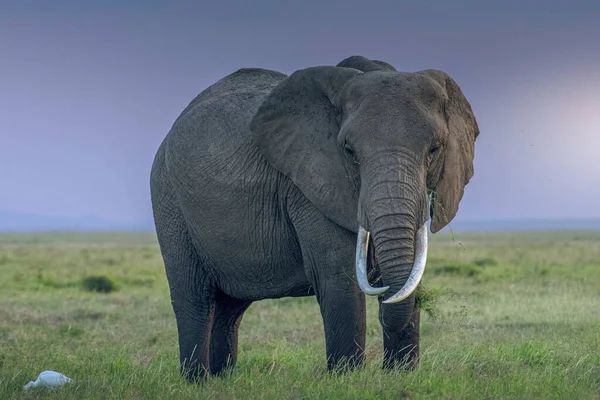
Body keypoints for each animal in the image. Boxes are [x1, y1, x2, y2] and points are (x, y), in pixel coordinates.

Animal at [150, 54, 478, 380]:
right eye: (349, 151)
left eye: (435, 149)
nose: (383, 301)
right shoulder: (307, 186)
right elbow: (338, 277)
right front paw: (347, 379)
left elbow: (412, 269)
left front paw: (400, 376)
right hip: (168, 200)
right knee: (195, 298)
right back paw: (196, 380)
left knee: (229, 308)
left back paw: (222, 379)